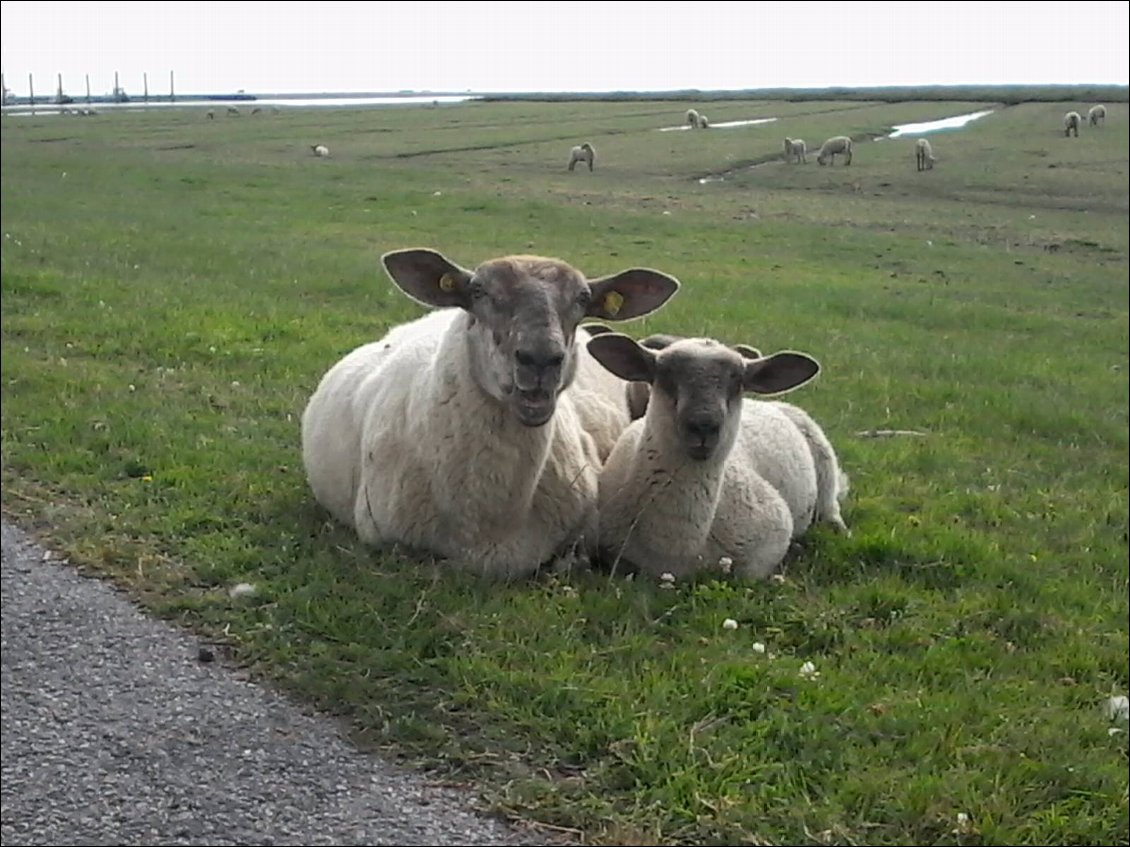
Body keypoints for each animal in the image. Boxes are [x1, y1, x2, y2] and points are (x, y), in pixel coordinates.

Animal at [587, 332, 845, 582]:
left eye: (738, 381)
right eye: (664, 374)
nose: (703, 426)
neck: (677, 546)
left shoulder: (771, 537)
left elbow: (748, 573)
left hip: (824, 466)